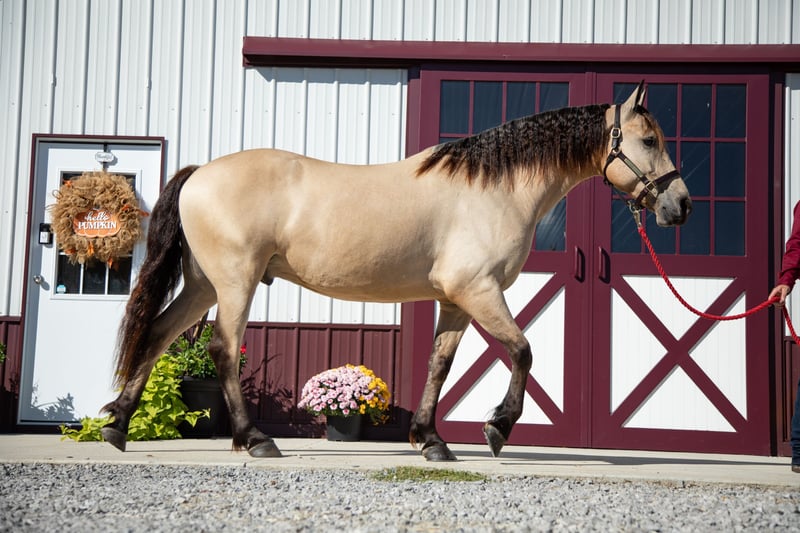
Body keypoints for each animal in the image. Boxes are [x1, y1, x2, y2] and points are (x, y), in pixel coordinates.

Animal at [100, 82, 691, 461]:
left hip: (203, 285)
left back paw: (117, 427)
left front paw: (431, 440)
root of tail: (201, 171)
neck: (493, 189)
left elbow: (439, 366)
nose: (680, 206)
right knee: (222, 348)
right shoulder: (478, 291)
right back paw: (255, 440)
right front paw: (497, 428)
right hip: (234, 283)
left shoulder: (456, 299)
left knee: (157, 334)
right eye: (649, 140)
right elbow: (523, 351)